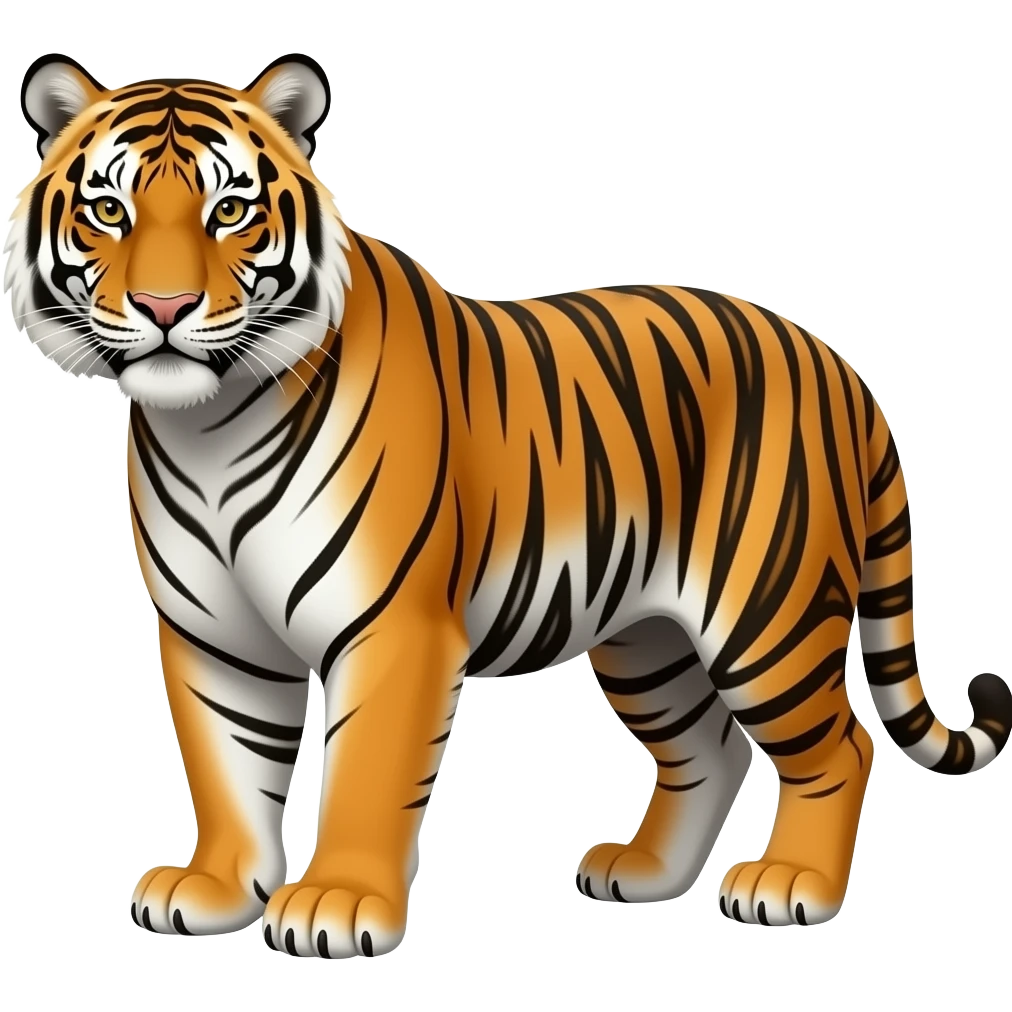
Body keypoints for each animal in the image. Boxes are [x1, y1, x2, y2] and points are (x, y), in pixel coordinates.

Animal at [5, 50, 1010, 958]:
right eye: (109, 210)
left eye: (230, 211)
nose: (164, 306)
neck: (208, 426)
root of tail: (836, 362)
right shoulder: (213, 634)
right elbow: (226, 766)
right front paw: (214, 889)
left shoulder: (393, 625)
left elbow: (366, 771)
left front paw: (335, 905)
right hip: (646, 636)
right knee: (709, 747)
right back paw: (644, 872)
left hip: (766, 612)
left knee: (841, 745)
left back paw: (792, 885)